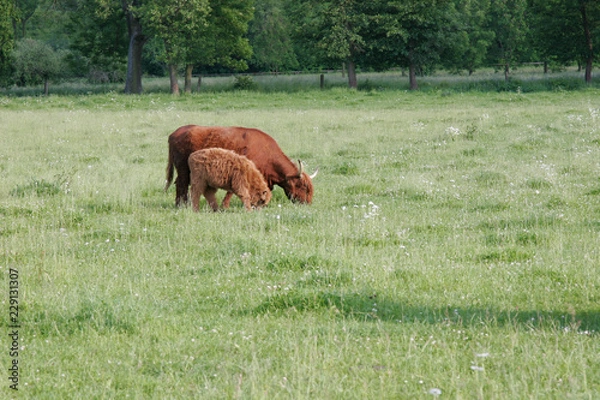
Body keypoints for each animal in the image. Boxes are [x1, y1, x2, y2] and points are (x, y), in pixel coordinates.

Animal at [162, 125, 316, 206]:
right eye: (303, 187)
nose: (307, 203)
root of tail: (176, 132)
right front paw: (224, 206)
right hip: (183, 169)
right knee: (181, 184)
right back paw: (181, 205)